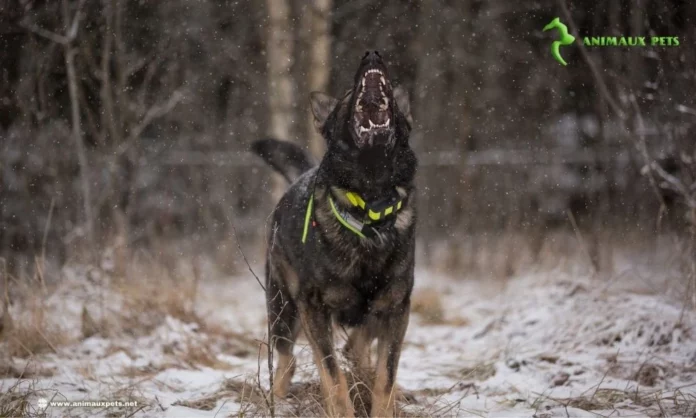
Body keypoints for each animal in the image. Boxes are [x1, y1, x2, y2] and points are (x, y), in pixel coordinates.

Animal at [254, 50, 418, 416]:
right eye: (346, 94)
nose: (372, 54)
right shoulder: (314, 309)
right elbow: (332, 374)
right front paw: (341, 409)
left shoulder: (396, 309)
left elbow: (386, 374)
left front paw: (385, 404)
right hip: (284, 310)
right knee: (288, 360)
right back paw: (277, 401)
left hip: (372, 313)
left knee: (357, 349)